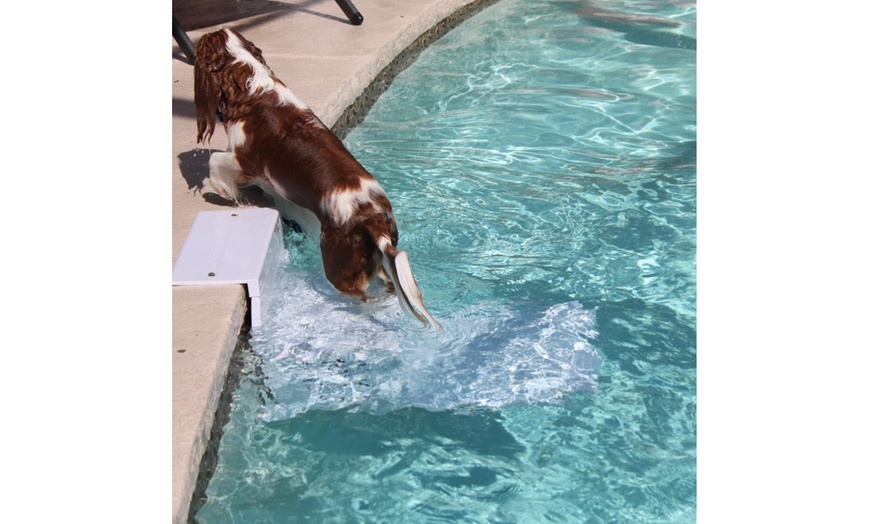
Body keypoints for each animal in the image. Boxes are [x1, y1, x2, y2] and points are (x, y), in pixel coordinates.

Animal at [197, 26, 442, 330]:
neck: (251, 83)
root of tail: (372, 219)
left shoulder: (245, 160)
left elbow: (214, 161)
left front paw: (222, 190)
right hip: (375, 259)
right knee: (385, 285)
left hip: (338, 267)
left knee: (362, 297)